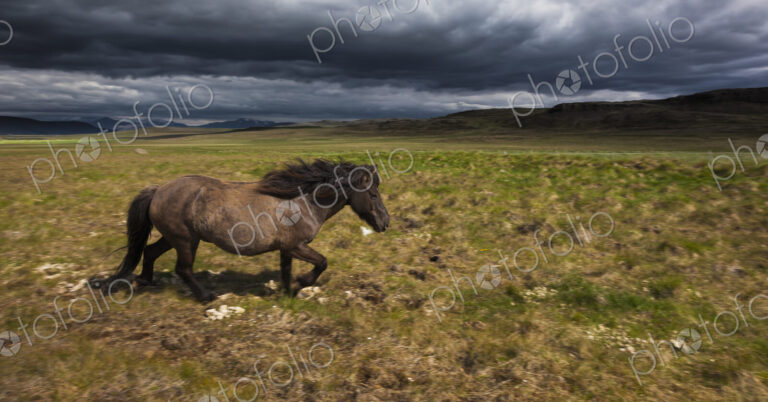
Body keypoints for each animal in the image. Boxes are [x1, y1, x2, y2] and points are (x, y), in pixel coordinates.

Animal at [98, 159, 390, 302]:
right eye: (373, 194)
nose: (385, 223)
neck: (303, 201)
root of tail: (158, 190)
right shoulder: (297, 246)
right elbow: (322, 263)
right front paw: (300, 283)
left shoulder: (287, 248)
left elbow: (286, 271)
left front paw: (288, 293)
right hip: (185, 240)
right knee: (183, 268)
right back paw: (206, 296)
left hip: (174, 238)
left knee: (149, 252)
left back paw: (145, 281)